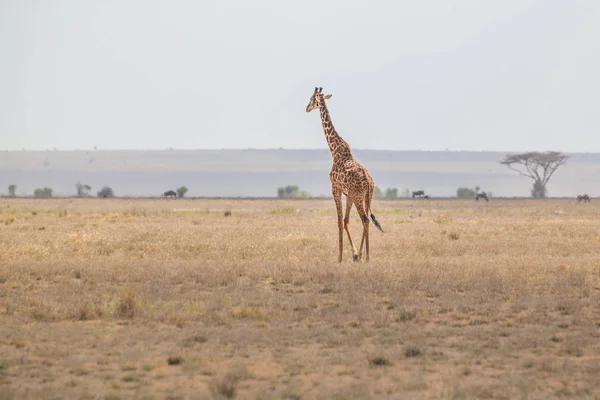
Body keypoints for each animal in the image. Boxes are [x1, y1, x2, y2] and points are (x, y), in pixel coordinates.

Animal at [304, 86, 384, 262]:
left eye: (312, 99)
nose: (306, 108)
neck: (334, 150)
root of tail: (369, 182)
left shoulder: (335, 188)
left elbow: (339, 221)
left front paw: (340, 257)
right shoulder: (348, 194)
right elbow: (346, 220)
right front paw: (354, 254)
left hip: (358, 196)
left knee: (365, 219)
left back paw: (367, 257)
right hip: (366, 196)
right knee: (366, 219)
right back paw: (363, 255)